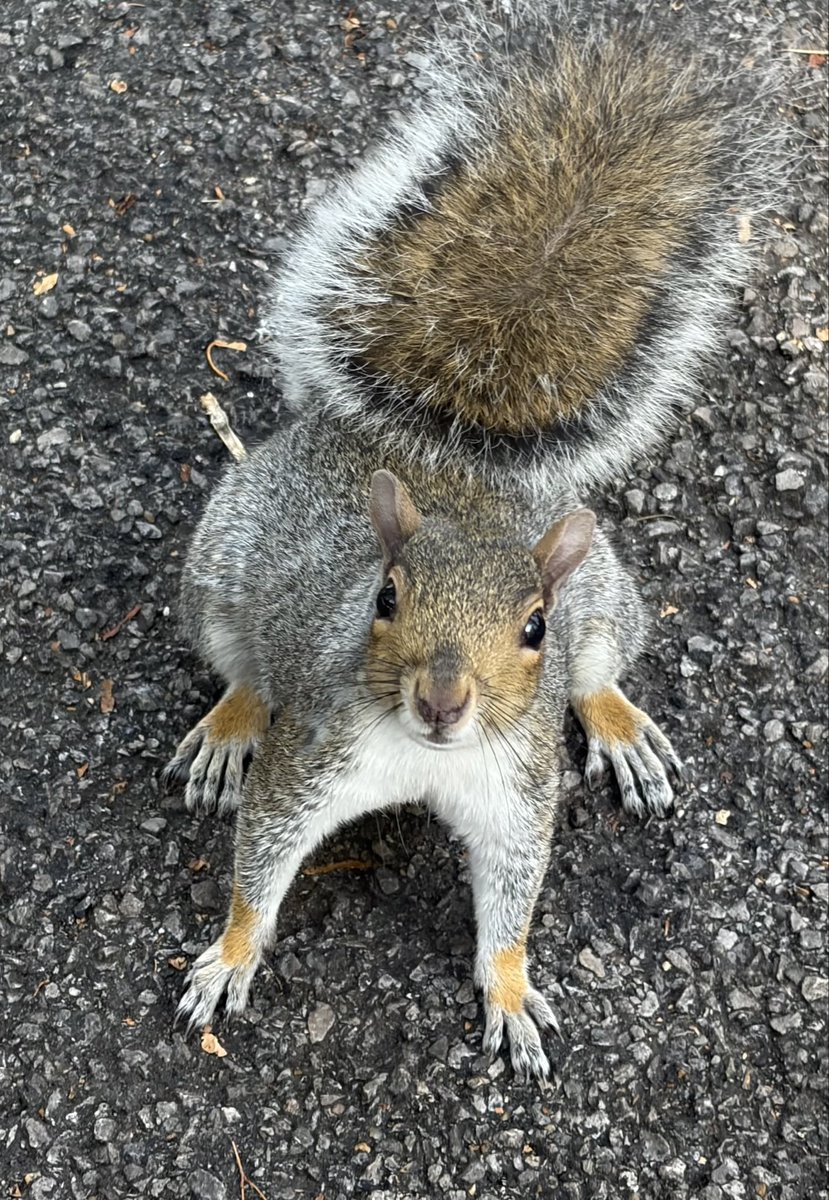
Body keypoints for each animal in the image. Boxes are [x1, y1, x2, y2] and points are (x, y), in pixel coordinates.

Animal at [165, 2, 779, 1079]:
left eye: (533, 627)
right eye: (383, 598)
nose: (444, 699)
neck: (427, 759)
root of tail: (427, 447)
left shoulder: (516, 790)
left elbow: (512, 893)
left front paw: (510, 987)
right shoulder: (312, 754)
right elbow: (262, 858)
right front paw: (232, 954)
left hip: (606, 597)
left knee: (599, 668)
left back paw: (617, 723)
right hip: (218, 572)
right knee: (239, 662)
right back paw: (232, 717)